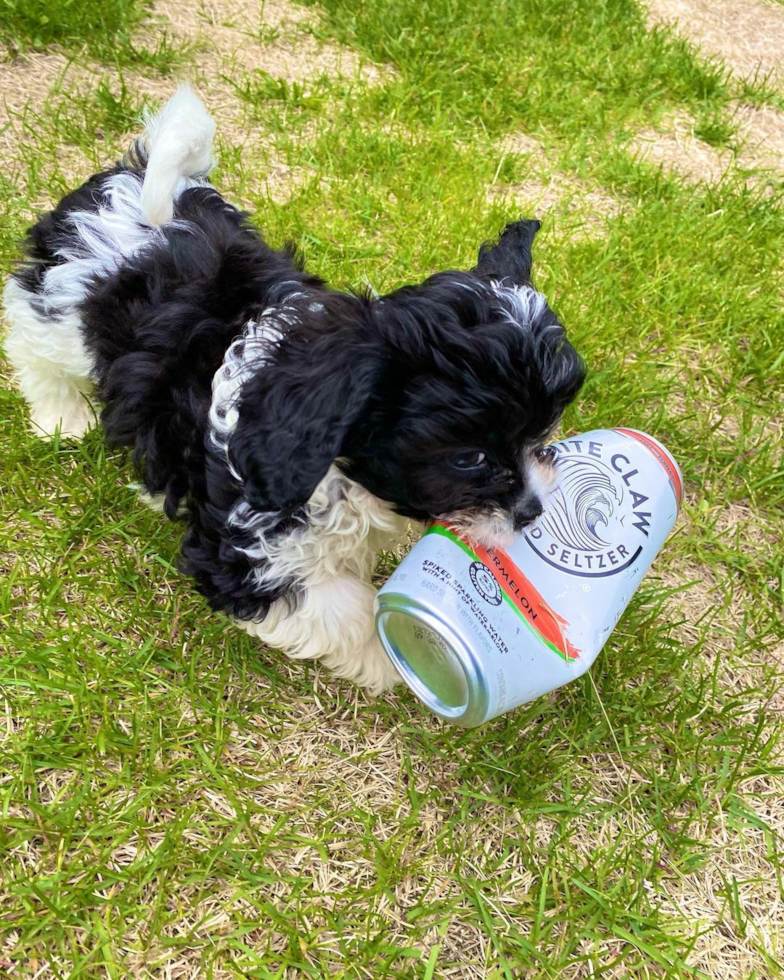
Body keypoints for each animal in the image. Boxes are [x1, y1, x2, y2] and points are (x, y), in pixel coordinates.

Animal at [3, 88, 584, 692]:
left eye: (544, 433)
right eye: (470, 458)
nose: (533, 512)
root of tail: (132, 181)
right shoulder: (246, 550)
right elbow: (341, 608)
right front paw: (397, 661)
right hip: (60, 310)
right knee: (29, 334)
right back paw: (62, 417)